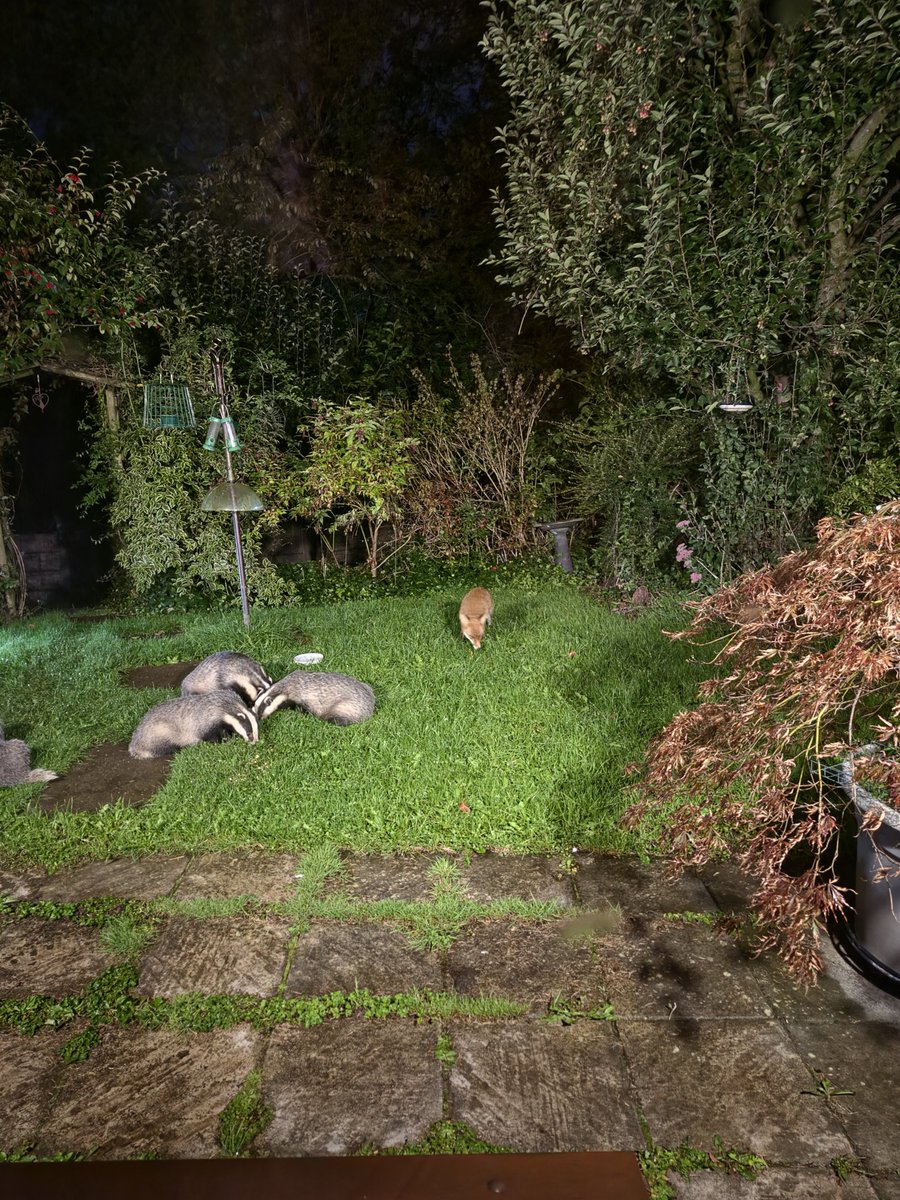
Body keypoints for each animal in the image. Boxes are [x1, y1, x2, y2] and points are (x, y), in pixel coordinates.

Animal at [129, 690, 259, 759]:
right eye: (249, 733)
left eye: (256, 731)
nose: (254, 742)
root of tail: (134, 744)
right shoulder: (208, 721)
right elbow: (210, 736)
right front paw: (226, 740)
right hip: (160, 732)